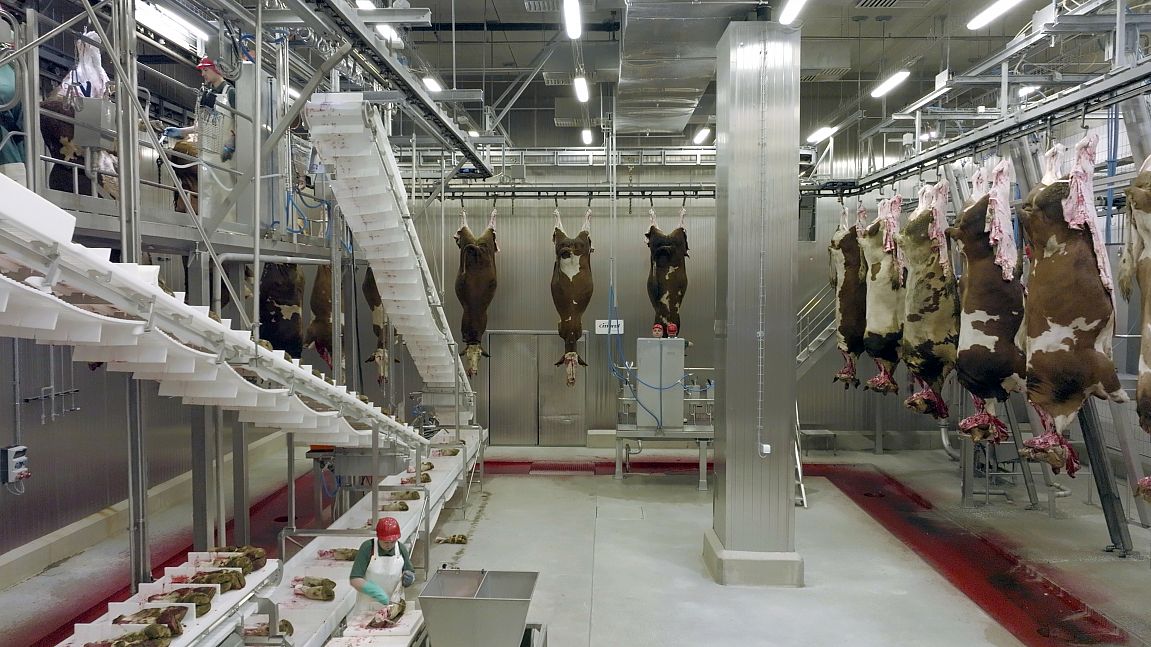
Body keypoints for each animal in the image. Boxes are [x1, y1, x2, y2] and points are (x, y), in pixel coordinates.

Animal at [455, 208, 498, 377]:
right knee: (487, 230)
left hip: (471, 242)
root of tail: (478, 249)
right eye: (467, 356)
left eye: (479, 356)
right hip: (485, 241)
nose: (473, 370)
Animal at [1019, 134, 1127, 476]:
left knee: (1051, 185)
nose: (1057, 462)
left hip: (1046, 203)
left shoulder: (1092, 365)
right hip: (1048, 201)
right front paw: (1123, 397)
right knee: (1051, 184)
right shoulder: (1096, 366)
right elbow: (1112, 383)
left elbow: (1112, 384)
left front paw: (1124, 397)